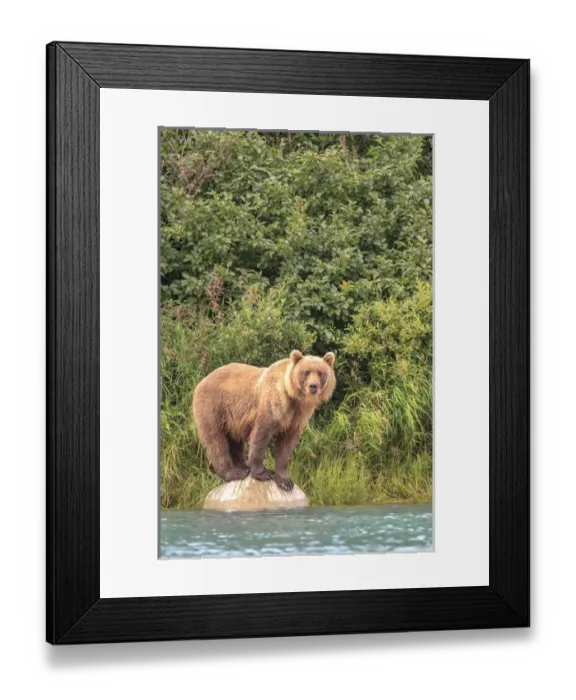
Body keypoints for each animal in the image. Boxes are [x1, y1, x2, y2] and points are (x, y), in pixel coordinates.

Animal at [192, 350, 336, 491]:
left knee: (234, 441)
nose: (313, 386)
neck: (293, 397)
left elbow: (287, 444)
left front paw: (285, 480)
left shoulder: (298, 416)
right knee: (216, 441)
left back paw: (243, 466)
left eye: (320, 373)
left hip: (232, 419)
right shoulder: (273, 405)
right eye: (306, 372)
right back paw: (234, 472)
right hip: (213, 406)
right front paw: (263, 473)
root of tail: (201, 382)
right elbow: (261, 436)